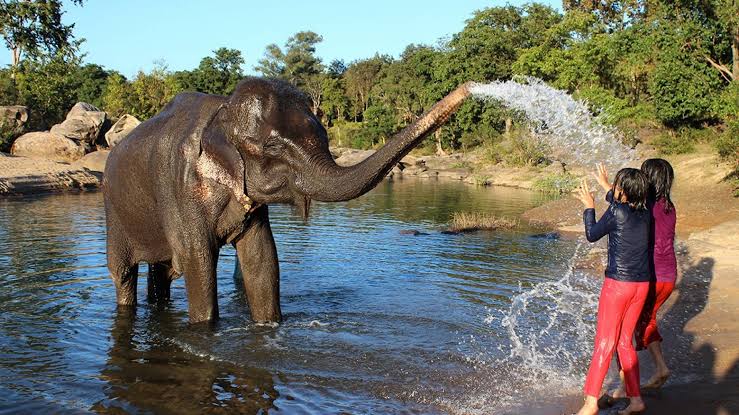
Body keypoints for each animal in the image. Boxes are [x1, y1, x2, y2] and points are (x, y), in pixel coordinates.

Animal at [102, 78, 474, 324]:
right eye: (272, 147)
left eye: (324, 135)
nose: (470, 88)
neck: (222, 111)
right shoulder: (179, 187)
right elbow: (198, 259)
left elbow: (262, 258)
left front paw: (270, 327)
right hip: (114, 213)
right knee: (123, 274)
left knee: (162, 270)